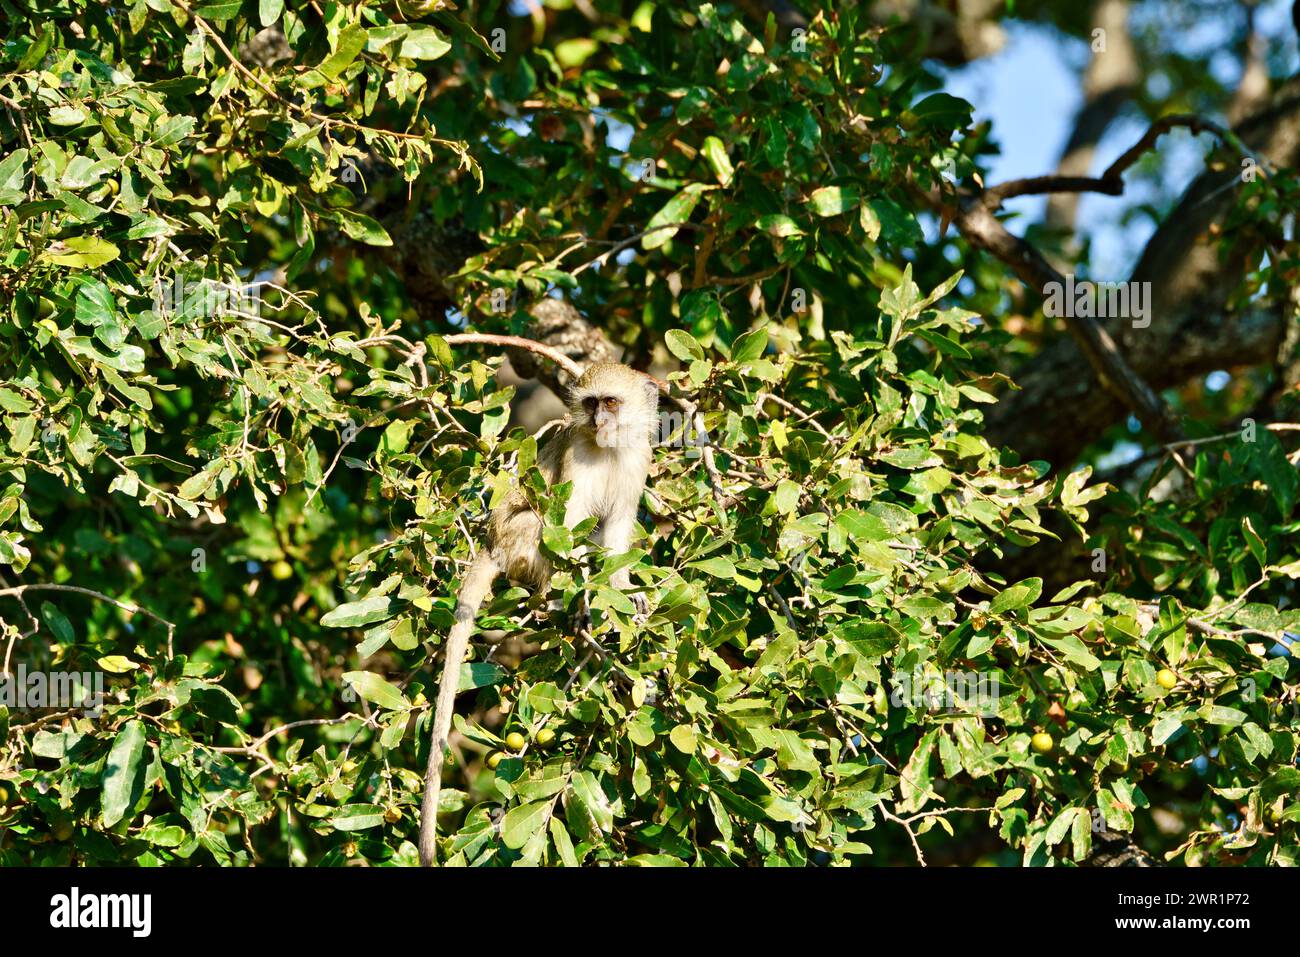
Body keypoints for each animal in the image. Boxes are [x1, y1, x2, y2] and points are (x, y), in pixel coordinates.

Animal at [418, 361, 659, 866]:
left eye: (611, 403)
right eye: (591, 403)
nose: (597, 421)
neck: (608, 450)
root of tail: (493, 544)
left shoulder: (638, 460)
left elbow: (614, 535)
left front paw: (624, 592)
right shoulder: (578, 460)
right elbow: (566, 528)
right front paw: (586, 599)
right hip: (517, 542)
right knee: (541, 524)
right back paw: (557, 600)